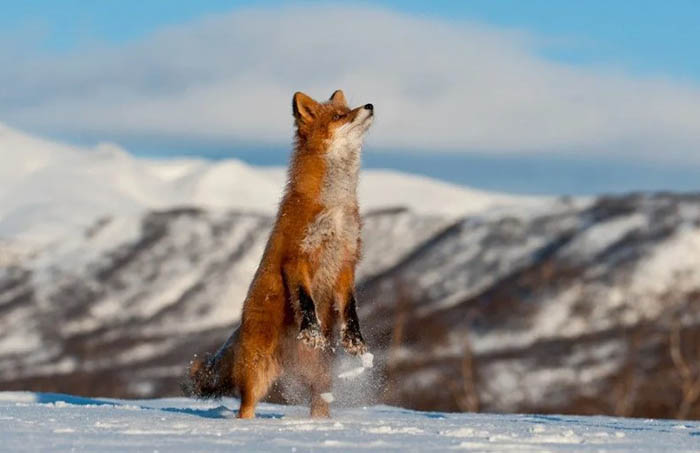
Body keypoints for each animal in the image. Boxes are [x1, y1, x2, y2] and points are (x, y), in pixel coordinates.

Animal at [183, 90, 374, 418]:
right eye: (339, 116)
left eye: (348, 109)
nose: (370, 106)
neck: (334, 207)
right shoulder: (297, 257)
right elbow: (305, 300)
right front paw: (311, 331)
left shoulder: (346, 262)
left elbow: (350, 309)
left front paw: (354, 340)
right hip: (256, 375)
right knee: (244, 408)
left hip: (320, 382)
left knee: (318, 404)